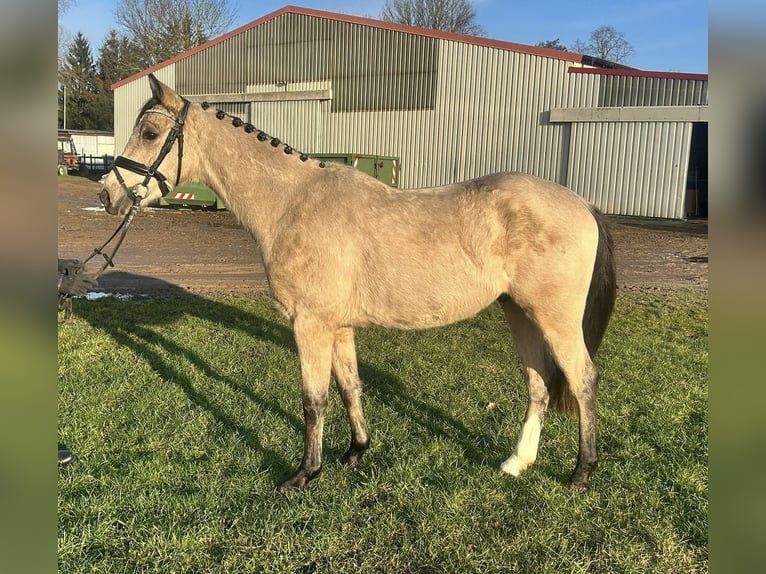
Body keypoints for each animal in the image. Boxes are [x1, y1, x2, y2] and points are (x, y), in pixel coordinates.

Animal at [100, 72, 616, 496]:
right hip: (520, 313)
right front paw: (355, 452)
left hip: (555, 319)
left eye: (150, 133)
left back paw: (581, 474)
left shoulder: (309, 324)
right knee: (539, 384)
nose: (107, 194)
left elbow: (314, 400)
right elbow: (350, 386)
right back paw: (517, 462)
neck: (293, 203)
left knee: (582, 380)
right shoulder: (338, 326)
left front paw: (304, 475)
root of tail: (583, 205)